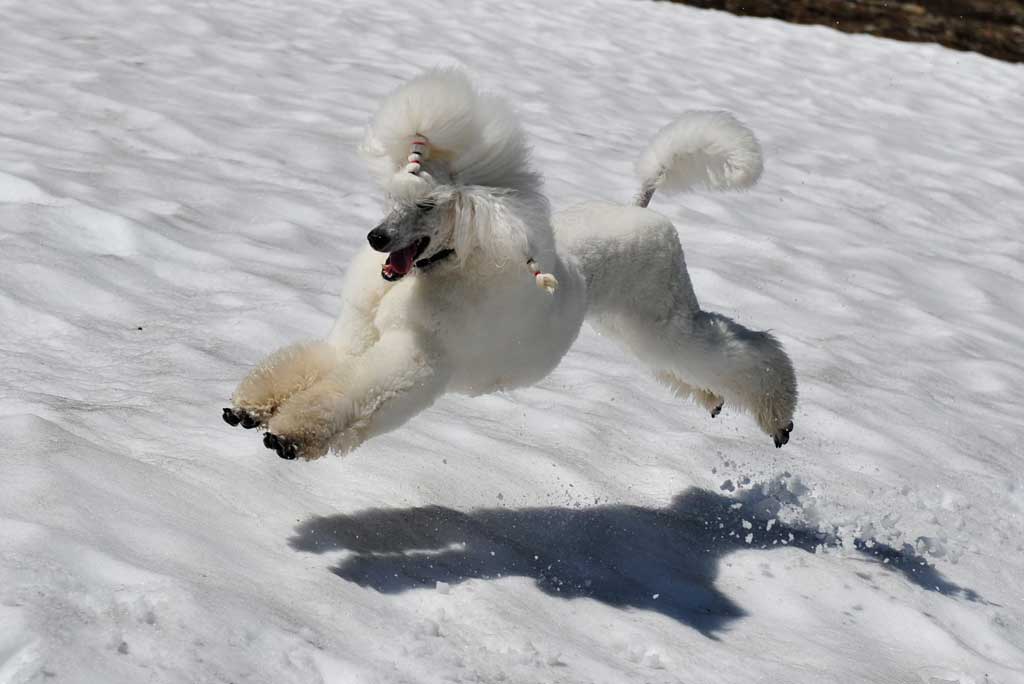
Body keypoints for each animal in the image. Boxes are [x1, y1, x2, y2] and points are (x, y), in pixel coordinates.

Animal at [222, 69, 797, 461]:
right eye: (388, 198)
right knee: (679, 364)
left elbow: (352, 394)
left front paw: (289, 434)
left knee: (737, 350)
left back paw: (778, 419)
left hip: (663, 313)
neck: (436, 268)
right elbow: (314, 362)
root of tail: (639, 208)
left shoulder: (418, 360)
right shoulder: (355, 338)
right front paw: (248, 408)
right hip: (630, 324)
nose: (376, 237)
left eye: (426, 205)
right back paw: (712, 399)